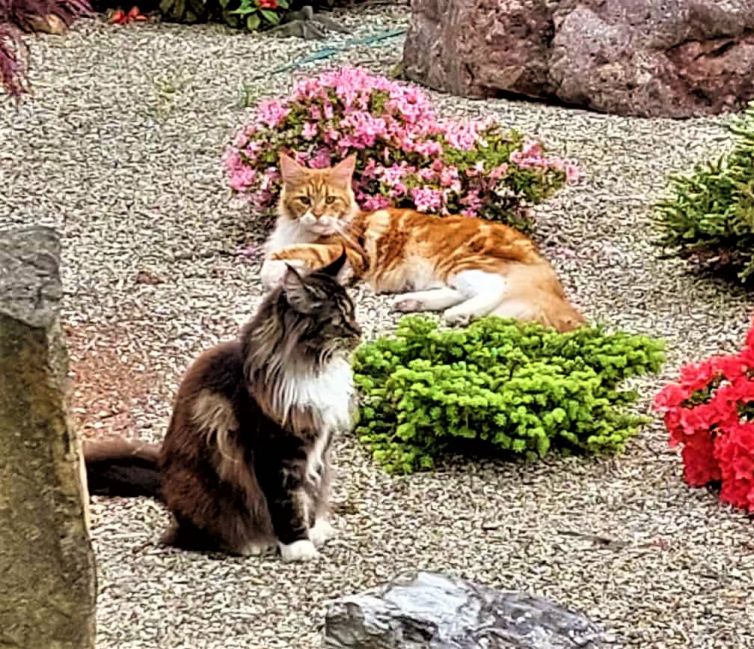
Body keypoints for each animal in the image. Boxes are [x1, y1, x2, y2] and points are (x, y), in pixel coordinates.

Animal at [262, 154, 584, 332]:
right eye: (305, 200)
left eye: (330, 200)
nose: (317, 215)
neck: (299, 230)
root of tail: (537, 258)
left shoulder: (350, 253)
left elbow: (294, 257)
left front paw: (278, 268)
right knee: (460, 291)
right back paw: (412, 301)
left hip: (460, 261)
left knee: (493, 288)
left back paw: (458, 314)